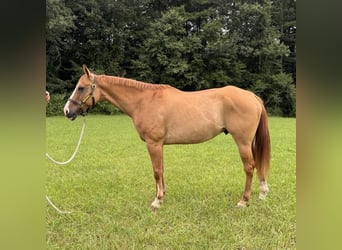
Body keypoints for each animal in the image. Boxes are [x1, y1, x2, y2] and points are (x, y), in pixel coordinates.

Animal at [62, 64, 268, 209]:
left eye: (81, 88)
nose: (67, 111)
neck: (144, 101)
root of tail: (251, 96)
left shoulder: (153, 143)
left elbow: (156, 171)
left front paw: (157, 201)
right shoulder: (159, 145)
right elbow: (161, 170)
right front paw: (161, 195)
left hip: (242, 142)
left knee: (249, 167)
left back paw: (243, 201)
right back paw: (262, 193)